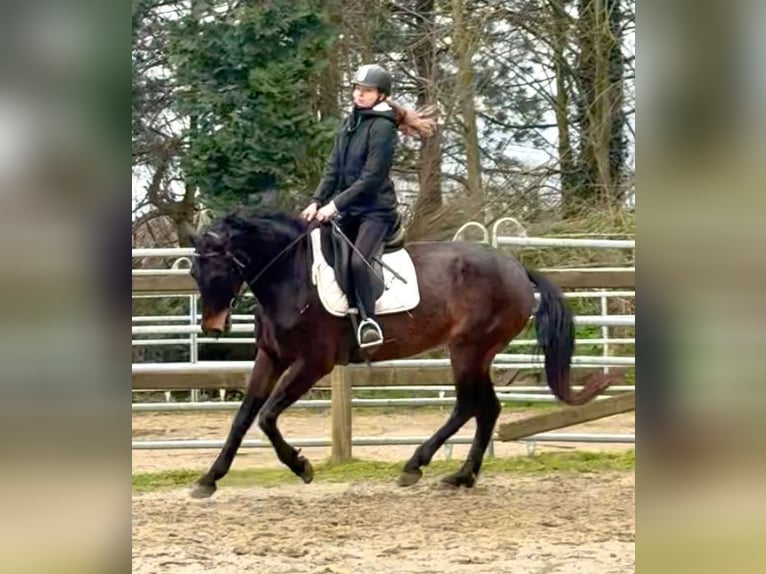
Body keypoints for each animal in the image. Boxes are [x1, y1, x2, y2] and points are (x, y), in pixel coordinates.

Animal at [186, 210, 610, 498]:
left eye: (221, 268)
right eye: (194, 273)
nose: (213, 325)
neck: (292, 275)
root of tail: (517, 268)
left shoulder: (312, 363)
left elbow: (267, 416)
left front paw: (301, 466)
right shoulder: (270, 357)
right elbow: (243, 418)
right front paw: (209, 479)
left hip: (468, 349)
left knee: (469, 405)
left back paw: (417, 466)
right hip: (478, 354)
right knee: (486, 408)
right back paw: (461, 476)